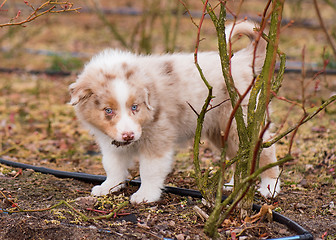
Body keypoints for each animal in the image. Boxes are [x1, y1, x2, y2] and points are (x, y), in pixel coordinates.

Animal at [69, 21, 280, 203]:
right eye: (108, 110)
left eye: (135, 107)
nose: (128, 135)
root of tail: (242, 59)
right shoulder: (111, 141)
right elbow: (112, 164)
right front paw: (109, 186)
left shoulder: (158, 136)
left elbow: (150, 169)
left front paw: (145, 195)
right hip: (221, 131)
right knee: (240, 154)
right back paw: (232, 185)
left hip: (238, 121)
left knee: (265, 151)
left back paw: (269, 187)